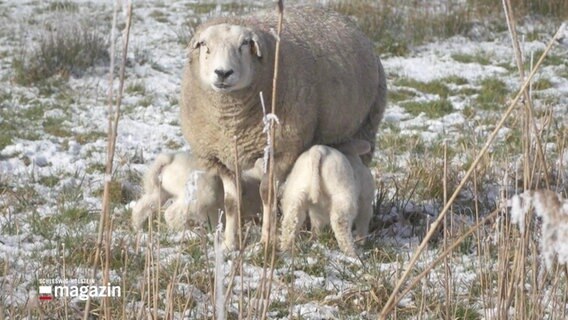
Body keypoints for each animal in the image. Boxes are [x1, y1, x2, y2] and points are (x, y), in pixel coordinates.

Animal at [131, 152, 262, 230]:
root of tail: (170, 160)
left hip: (162, 191)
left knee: (144, 205)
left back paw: (137, 227)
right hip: (199, 196)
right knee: (172, 213)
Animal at [180, 5, 388, 250]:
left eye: (244, 45)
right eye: (205, 45)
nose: (223, 73)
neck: (231, 121)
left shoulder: (282, 150)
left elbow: (267, 193)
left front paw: (265, 241)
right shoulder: (221, 157)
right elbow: (231, 201)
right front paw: (231, 244)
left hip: (366, 127)